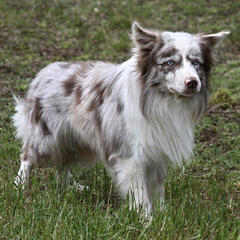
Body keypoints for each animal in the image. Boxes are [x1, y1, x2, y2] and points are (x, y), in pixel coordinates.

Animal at [12, 22, 229, 216]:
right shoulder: (130, 156)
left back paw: (72, 188)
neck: (158, 99)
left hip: (76, 139)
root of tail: (45, 71)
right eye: (170, 62)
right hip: (47, 136)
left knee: (62, 165)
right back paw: (20, 187)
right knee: (27, 157)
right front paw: (147, 220)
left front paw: (163, 215)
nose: (193, 82)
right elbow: (140, 195)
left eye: (196, 62)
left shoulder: (156, 153)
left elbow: (158, 188)